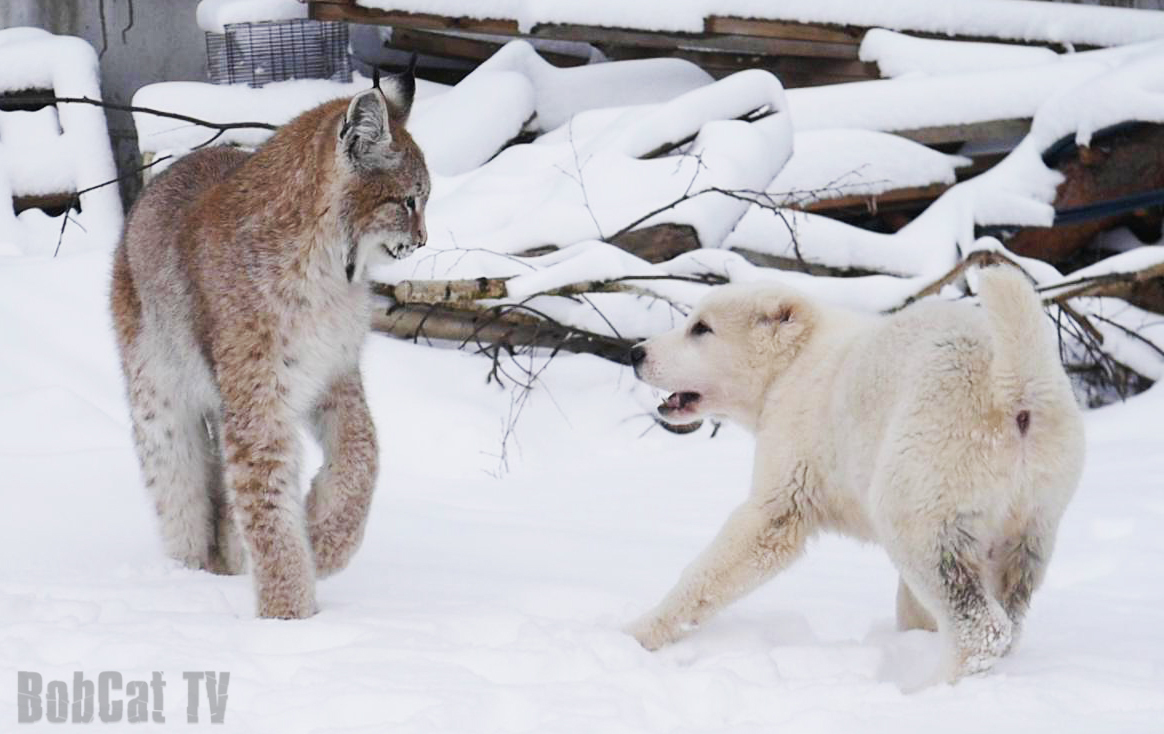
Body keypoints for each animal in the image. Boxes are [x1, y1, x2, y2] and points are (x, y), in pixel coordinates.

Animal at [628, 268, 1080, 683]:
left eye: (701, 328)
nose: (635, 353)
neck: (793, 365)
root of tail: (1014, 390)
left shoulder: (787, 478)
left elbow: (732, 554)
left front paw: (638, 632)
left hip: (924, 488)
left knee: (981, 626)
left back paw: (930, 687)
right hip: (1031, 521)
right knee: (1008, 615)